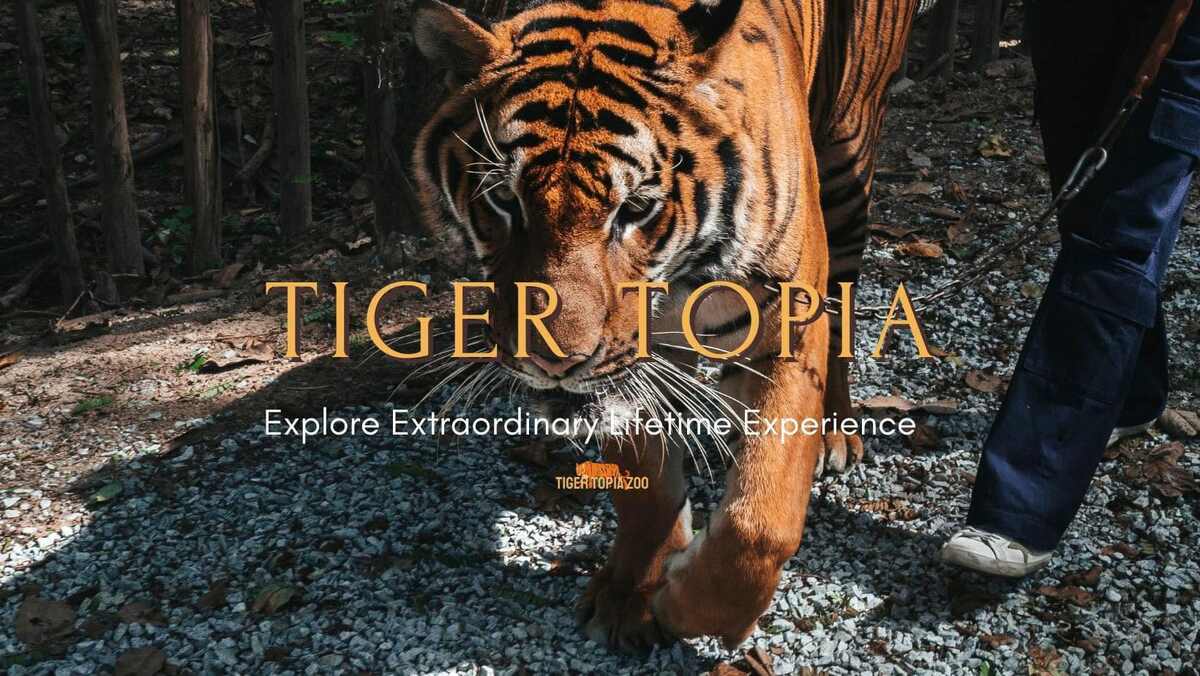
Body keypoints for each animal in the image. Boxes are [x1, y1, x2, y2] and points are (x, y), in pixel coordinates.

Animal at [411, 0, 923, 651]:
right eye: (504, 199)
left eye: (634, 210)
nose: (554, 361)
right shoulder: (629, 369)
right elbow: (647, 491)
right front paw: (632, 595)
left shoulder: (783, 328)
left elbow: (760, 524)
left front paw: (684, 603)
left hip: (847, 163)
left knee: (843, 310)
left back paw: (836, 430)